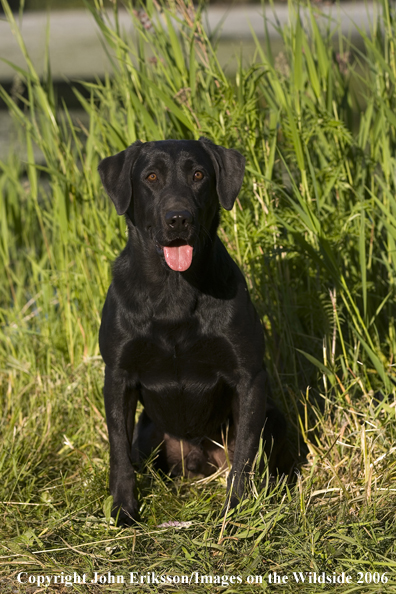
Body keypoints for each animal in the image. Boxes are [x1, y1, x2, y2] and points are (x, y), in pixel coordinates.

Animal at [98, 138, 286, 524]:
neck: (174, 291)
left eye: (198, 175)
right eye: (151, 177)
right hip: (148, 432)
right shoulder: (117, 375)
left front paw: (236, 509)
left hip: (274, 416)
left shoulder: (250, 377)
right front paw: (123, 510)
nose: (179, 218)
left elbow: (245, 454)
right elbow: (118, 449)